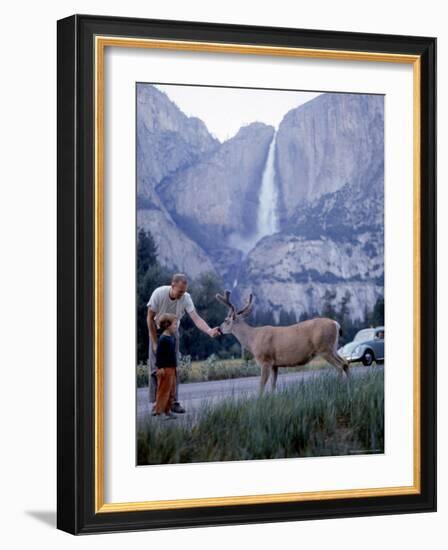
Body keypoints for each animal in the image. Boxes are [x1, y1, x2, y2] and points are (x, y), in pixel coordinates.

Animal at [215, 292, 348, 394]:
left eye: (225, 320)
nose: (219, 329)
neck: (252, 339)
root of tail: (336, 324)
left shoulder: (265, 360)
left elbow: (261, 385)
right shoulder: (275, 364)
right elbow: (273, 386)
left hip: (324, 348)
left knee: (340, 366)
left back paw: (340, 388)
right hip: (333, 348)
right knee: (345, 363)